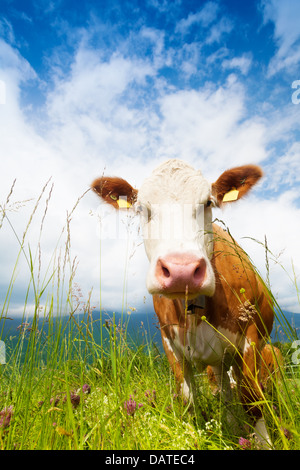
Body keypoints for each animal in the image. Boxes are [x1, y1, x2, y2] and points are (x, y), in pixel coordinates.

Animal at [91, 159, 274, 448]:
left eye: (208, 203)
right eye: (142, 208)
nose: (182, 270)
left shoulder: (251, 335)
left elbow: (251, 396)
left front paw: (263, 441)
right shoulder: (170, 342)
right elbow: (187, 398)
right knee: (223, 390)